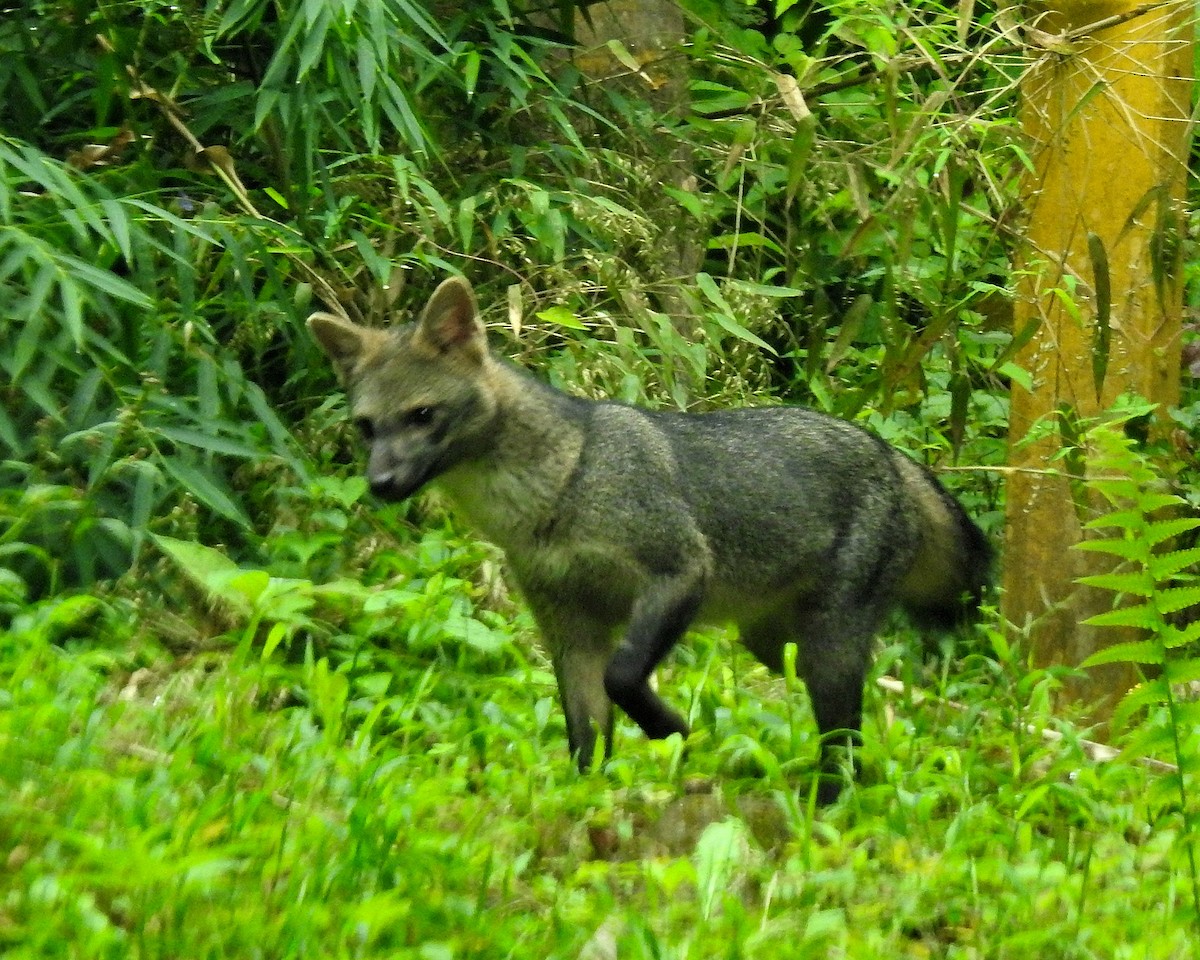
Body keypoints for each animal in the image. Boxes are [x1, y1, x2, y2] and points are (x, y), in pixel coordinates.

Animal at [308, 274, 992, 801]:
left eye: (422, 415)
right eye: (367, 427)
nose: (380, 483)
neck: (557, 492)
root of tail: (890, 453)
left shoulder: (680, 568)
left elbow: (623, 678)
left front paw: (674, 730)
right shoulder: (569, 627)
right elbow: (585, 733)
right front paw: (590, 797)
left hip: (826, 651)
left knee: (845, 740)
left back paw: (828, 806)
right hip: (776, 646)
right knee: (864, 718)